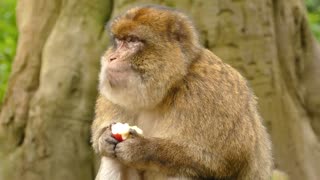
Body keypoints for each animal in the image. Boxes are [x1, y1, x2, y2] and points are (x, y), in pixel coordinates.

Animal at [92, 4, 272, 179]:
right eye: (119, 41)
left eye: (132, 40)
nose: (112, 58)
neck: (168, 88)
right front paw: (104, 138)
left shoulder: (209, 92)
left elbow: (224, 160)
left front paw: (142, 148)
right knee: (112, 160)